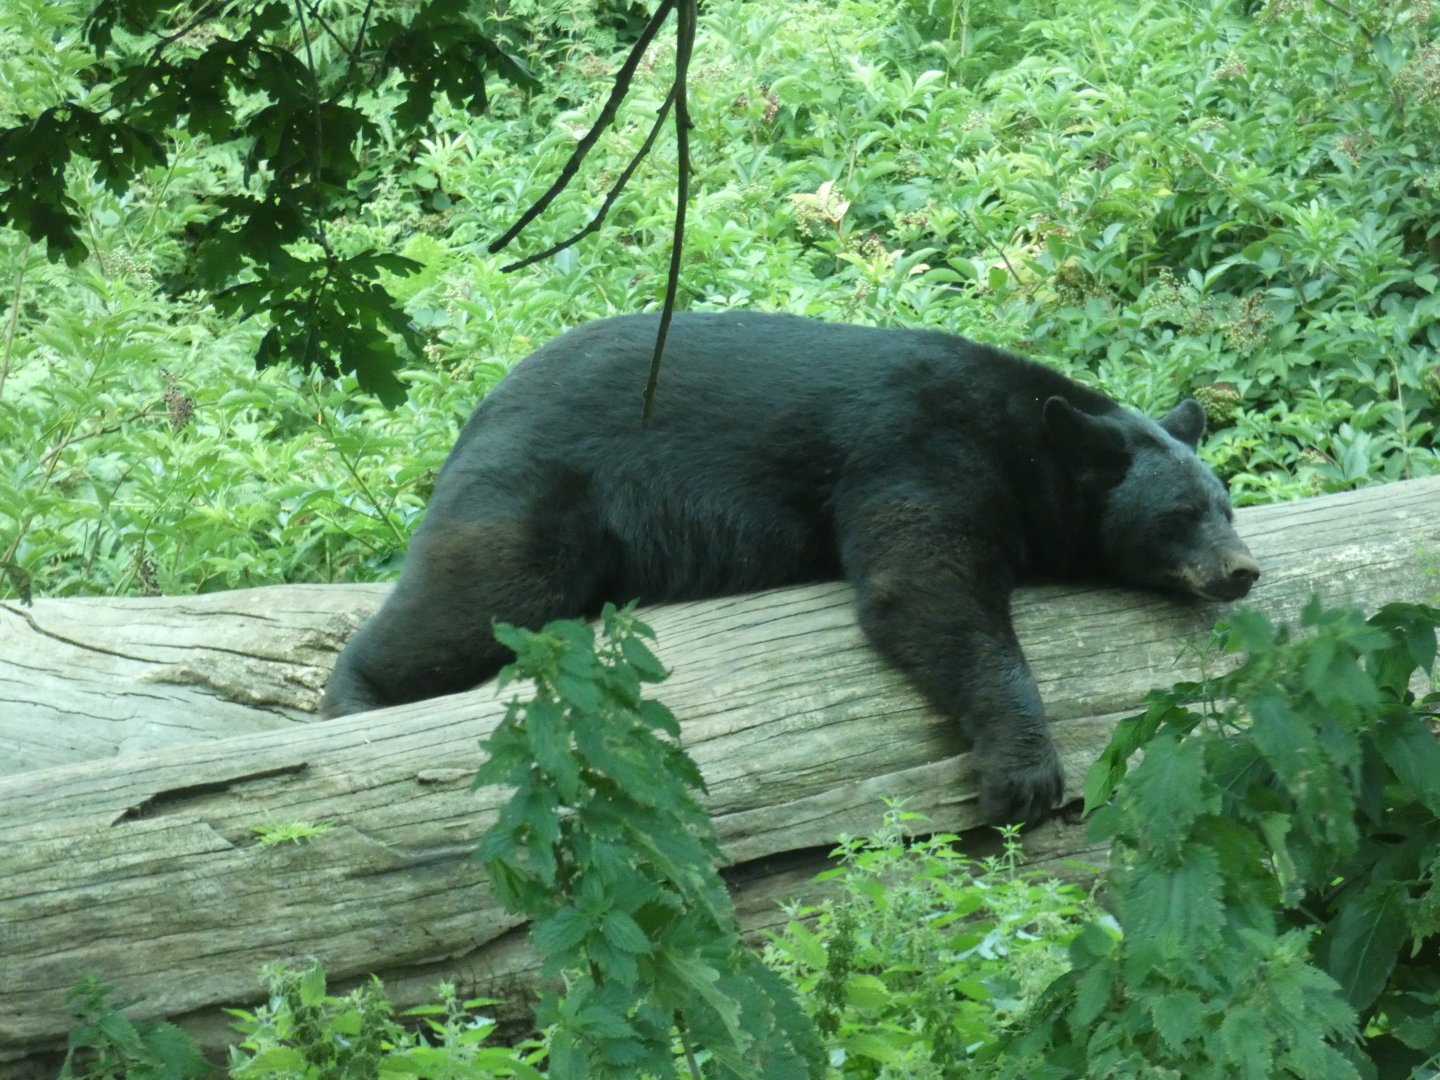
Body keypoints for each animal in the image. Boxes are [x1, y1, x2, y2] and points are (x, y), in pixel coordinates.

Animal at [321, 312, 1259, 825]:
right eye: (1182, 515)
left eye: (1227, 504)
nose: (1242, 570)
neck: (1027, 437)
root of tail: (477, 410)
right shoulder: (918, 444)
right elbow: (924, 583)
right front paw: (1023, 773)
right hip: (539, 485)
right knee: (475, 597)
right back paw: (352, 702)